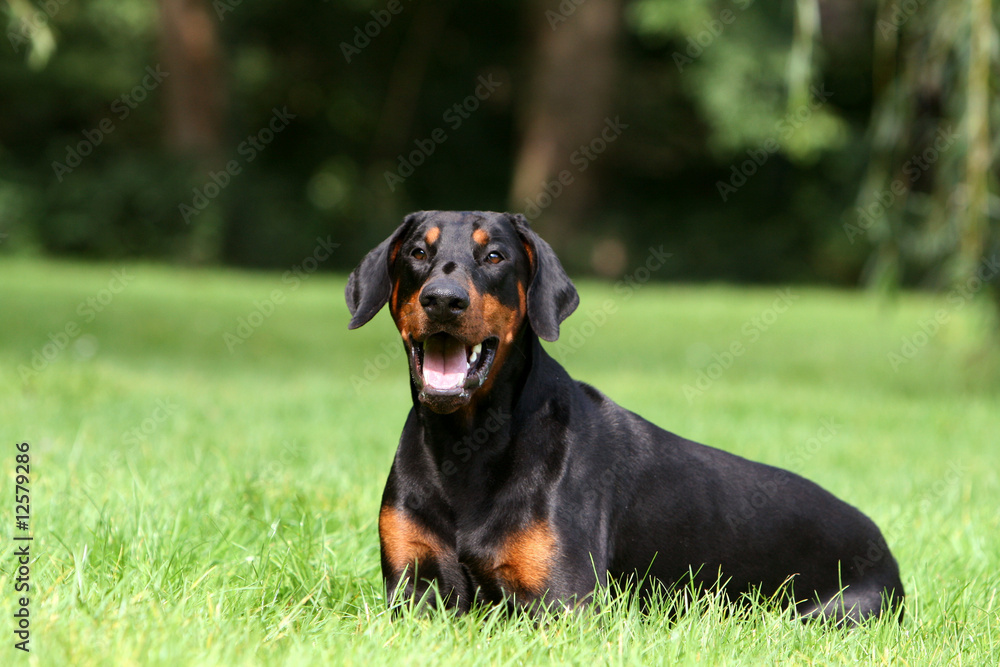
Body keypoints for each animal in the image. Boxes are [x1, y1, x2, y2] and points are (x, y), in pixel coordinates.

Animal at [346, 211, 908, 624]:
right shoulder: (411, 587)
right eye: (418, 253)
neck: (466, 447)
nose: (443, 300)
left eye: (494, 256)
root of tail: (884, 548)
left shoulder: (562, 602)